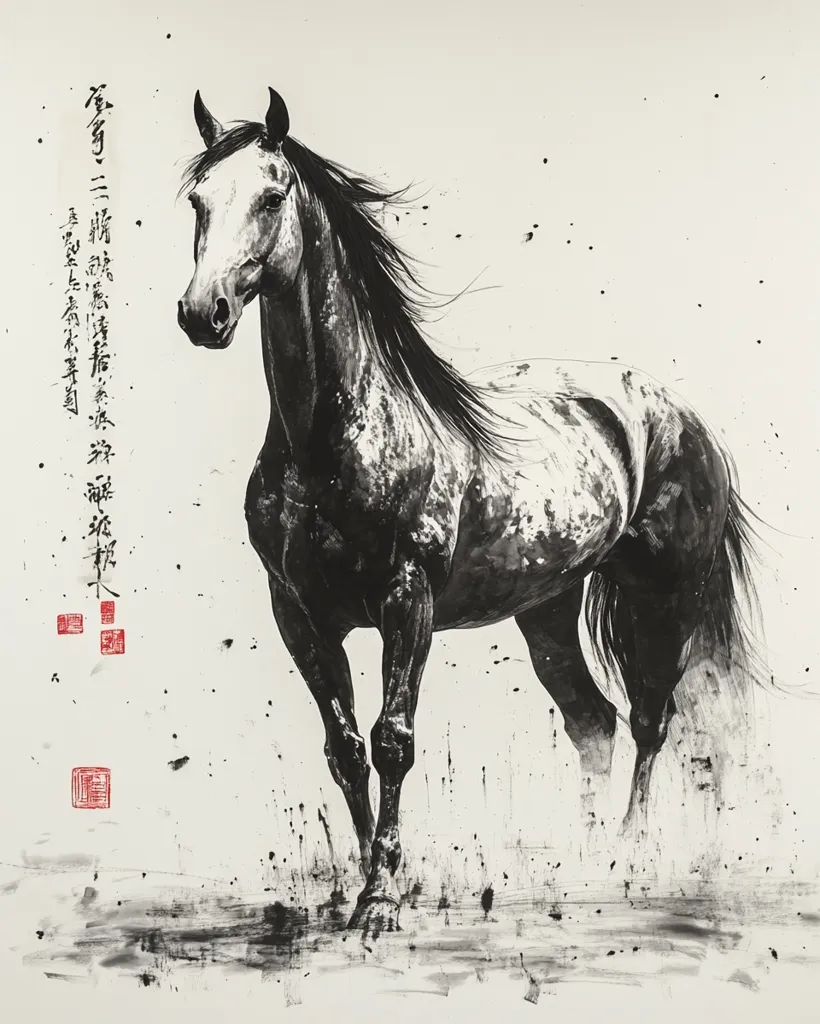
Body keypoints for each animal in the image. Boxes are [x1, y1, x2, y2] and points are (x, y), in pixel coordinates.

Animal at [177, 88, 764, 932]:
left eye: (271, 197)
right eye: (198, 200)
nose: (205, 313)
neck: (331, 438)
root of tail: (683, 418)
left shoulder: (407, 602)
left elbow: (392, 740)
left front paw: (381, 900)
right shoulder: (299, 615)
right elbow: (345, 749)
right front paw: (370, 881)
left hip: (665, 597)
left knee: (651, 718)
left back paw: (627, 857)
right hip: (547, 609)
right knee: (593, 722)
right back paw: (579, 860)